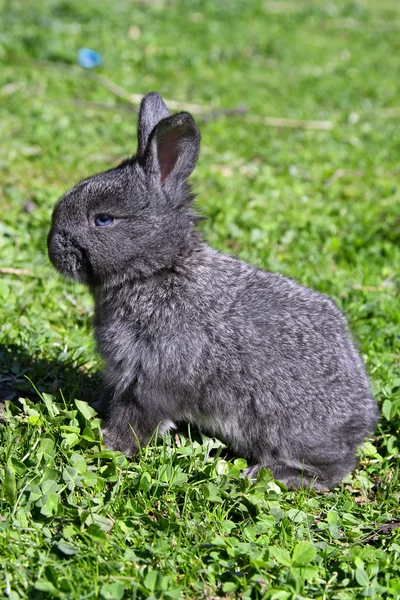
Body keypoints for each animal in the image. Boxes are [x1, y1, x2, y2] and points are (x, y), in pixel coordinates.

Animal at [47, 91, 378, 490]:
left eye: (103, 219)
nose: (52, 246)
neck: (158, 269)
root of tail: (360, 423)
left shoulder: (155, 374)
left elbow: (139, 415)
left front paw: (111, 445)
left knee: (332, 468)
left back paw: (266, 473)